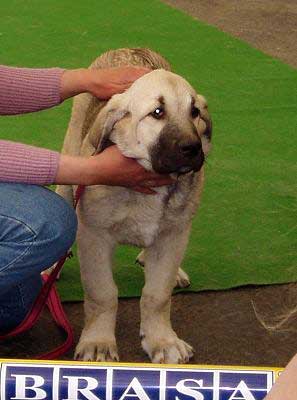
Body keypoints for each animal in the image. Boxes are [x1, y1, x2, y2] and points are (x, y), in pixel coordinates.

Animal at [57, 48, 210, 364]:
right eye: (157, 113)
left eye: (195, 112)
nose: (192, 148)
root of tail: (128, 49)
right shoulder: (94, 236)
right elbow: (103, 294)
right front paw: (99, 343)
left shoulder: (173, 234)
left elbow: (157, 294)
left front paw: (162, 340)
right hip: (70, 162)